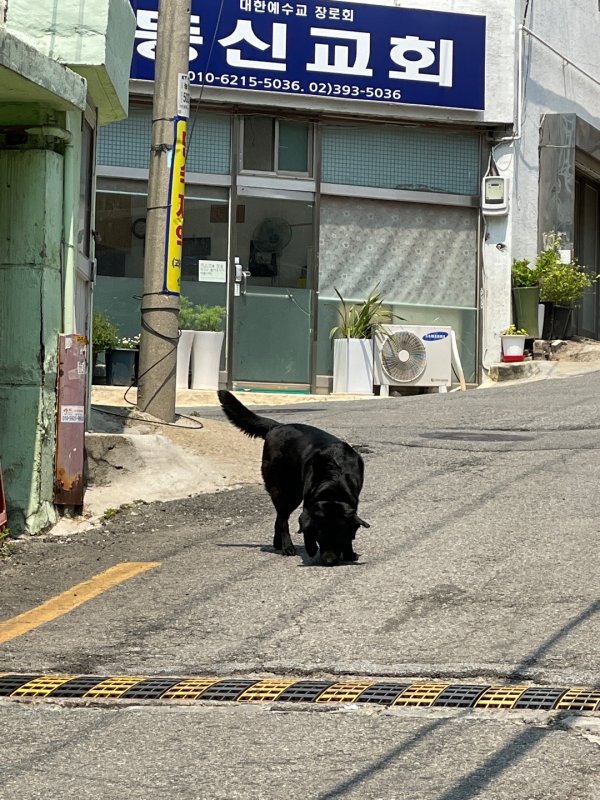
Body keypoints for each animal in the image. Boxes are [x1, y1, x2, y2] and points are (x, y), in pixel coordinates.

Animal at [218, 390, 368, 564]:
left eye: (339, 536)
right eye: (320, 535)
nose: (328, 561)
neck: (333, 485)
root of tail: (276, 426)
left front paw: (349, 553)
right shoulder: (308, 507)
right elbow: (305, 528)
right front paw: (311, 550)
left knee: (279, 518)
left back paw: (278, 544)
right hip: (286, 491)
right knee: (282, 519)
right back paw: (287, 547)